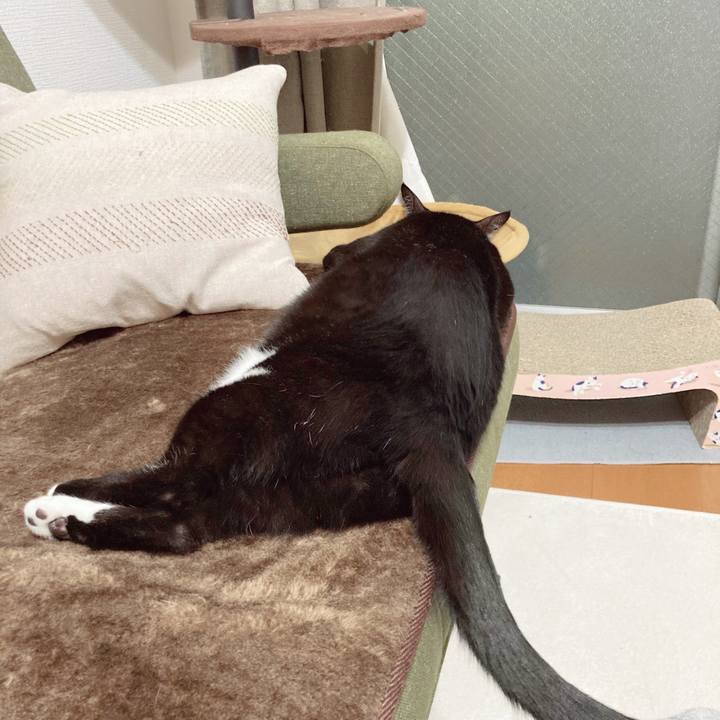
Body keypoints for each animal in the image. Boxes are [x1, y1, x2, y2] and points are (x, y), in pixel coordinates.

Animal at [23, 186, 716, 720]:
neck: (447, 228)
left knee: (178, 484)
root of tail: (426, 422)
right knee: (187, 527)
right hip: (307, 492)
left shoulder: (350, 251)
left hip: (241, 399)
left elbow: (335, 254)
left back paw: (54, 502)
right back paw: (67, 524)